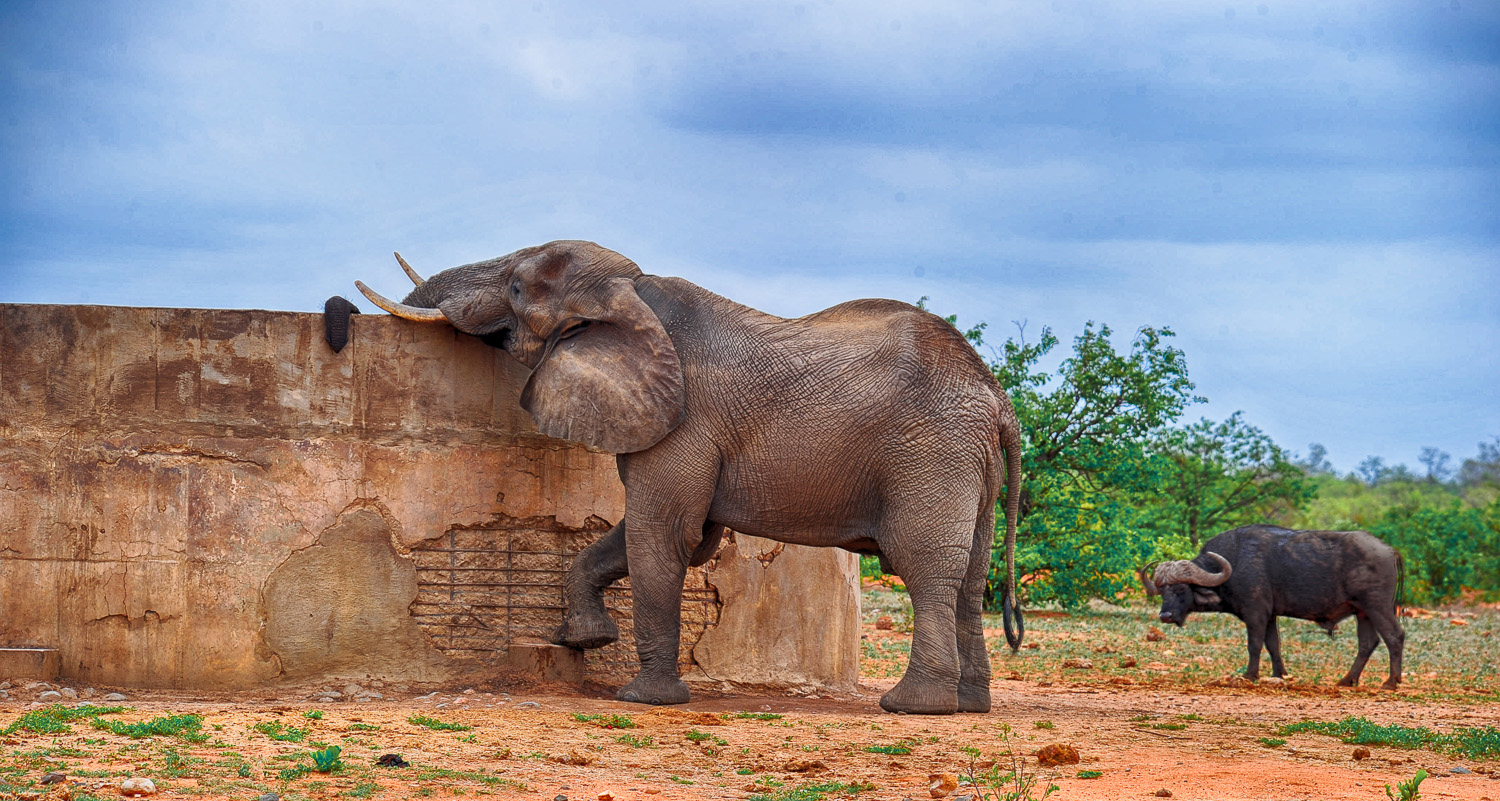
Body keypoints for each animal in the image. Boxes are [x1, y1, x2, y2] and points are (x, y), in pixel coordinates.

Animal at [353, 240, 1024, 714]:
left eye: (517, 286)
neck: (633, 290)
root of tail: (997, 397)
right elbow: (655, 536)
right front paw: (582, 640)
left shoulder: (684, 421)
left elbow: (662, 534)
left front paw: (643, 699)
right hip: (970, 465)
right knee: (971, 578)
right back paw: (971, 705)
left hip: (931, 455)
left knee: (927, 570)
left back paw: (914, 708)